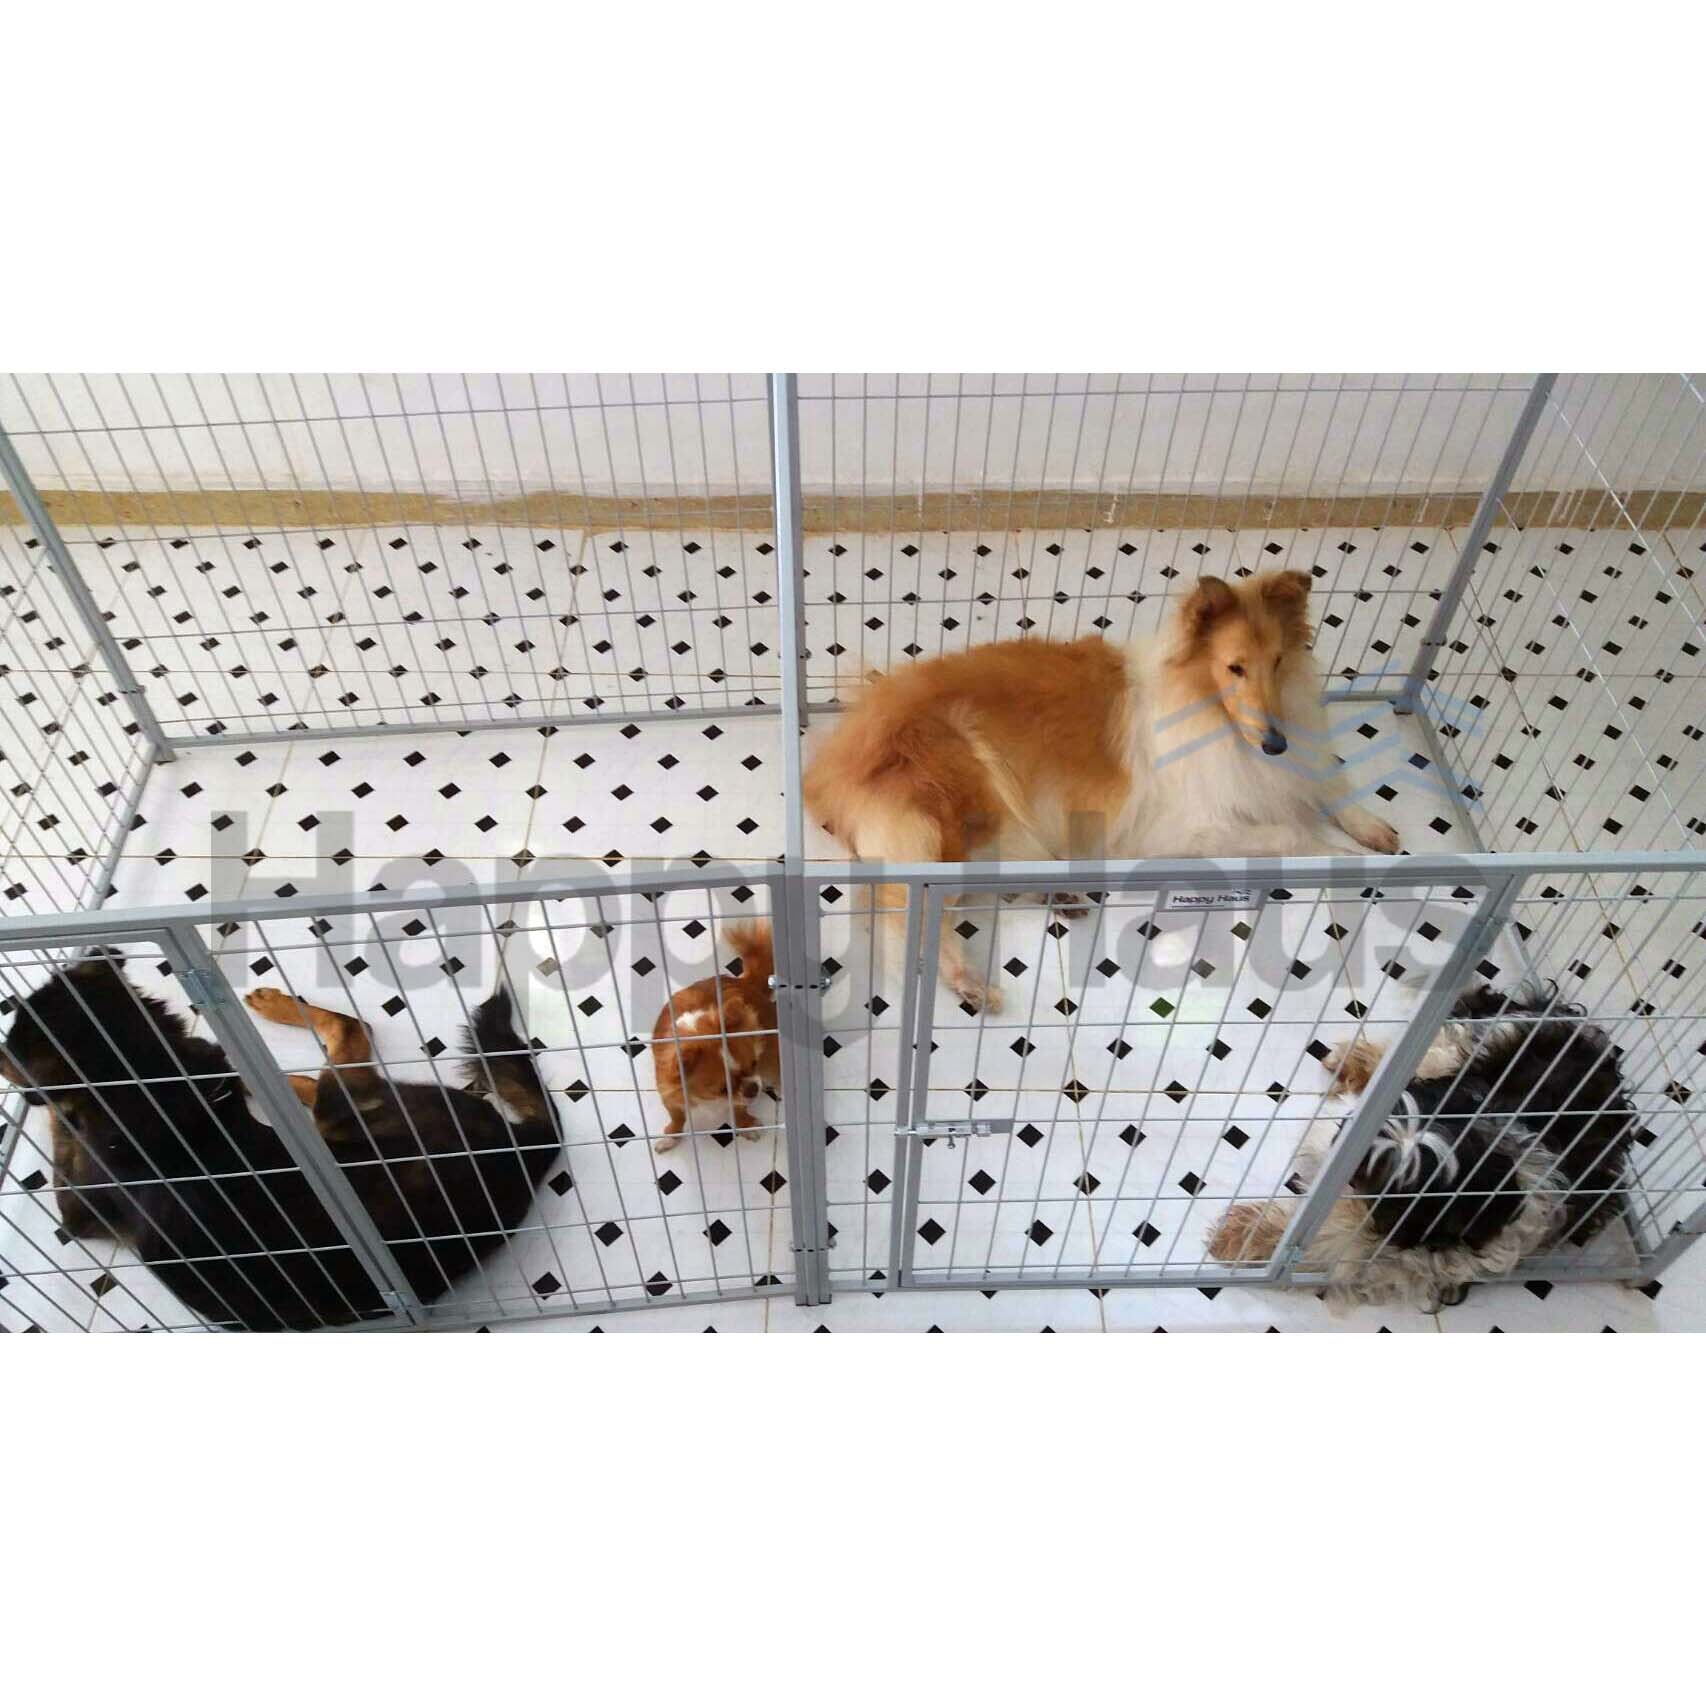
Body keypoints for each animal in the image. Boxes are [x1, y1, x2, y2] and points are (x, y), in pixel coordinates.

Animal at [0, 952, 560, 1330]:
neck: (139, 1081)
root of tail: (525, 1150)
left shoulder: (78, 1211)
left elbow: (59, 1134)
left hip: (346, 1113)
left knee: (349, 1034)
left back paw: (272, 1044)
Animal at [650, 920, 779, 1150]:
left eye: (754, 1064)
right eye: (722, 1089)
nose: (753, 1089)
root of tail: (745, 982)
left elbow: (738, 1108)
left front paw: (745, 1125)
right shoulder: (669, 1092)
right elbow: (676, 1117)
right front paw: (671, 1136)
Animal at [802, 569, 1398, 1011]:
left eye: (1278, 662)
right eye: (1235, 667)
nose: (1274, 743)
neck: (1210, 711)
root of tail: (832, 762)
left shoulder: (1291, 763)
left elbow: (1331, 780)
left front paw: (1374, 829)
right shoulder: (1185, 828)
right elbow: (1293, 832)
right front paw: (1346, 854)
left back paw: (1059, 897)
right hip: (956, 808)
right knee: (907, 913)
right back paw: (969, 980)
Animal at [1204, 985, 1646, 1311]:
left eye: (1393, 1190)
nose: (1336, 1142)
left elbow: (1336, 1240)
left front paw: (1249, 1234)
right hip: (1488, 1037)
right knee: (1432, 1049)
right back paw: (1360, 1061)